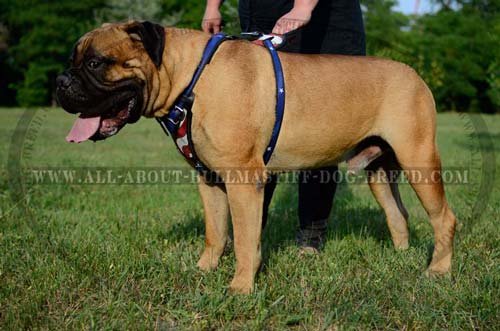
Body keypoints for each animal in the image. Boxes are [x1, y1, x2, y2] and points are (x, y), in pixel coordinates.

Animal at [56, 22, 456, 294]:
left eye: (95, 63)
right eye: (74, 60)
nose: (60, 81)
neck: (191, 80)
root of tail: (415, 74)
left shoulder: (243, 181)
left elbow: (246, 240)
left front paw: (240, 288)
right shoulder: (210, 179)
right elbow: (215, 232)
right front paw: (203, 270)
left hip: (419, 160)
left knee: (444, 219)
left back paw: (438, 270)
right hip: (379, 172)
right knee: (398, 214)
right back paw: (401, 258)